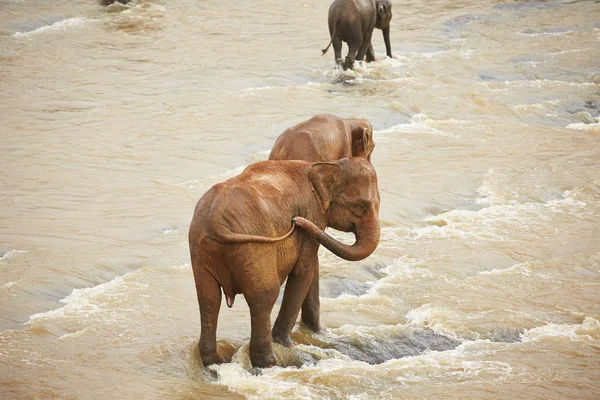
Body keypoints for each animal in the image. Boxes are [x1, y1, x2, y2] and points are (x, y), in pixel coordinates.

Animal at [190, 157, 382, 368]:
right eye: (361, 207)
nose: (295, 220)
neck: (326, 165)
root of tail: (215, 219)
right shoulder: (313, 214)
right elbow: (303, 271)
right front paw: (286, 344)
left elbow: (311, 268)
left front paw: (316, 333)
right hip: (251, 248)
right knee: (265, 294)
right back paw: (270, 362)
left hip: (202, 250)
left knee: (208, 297)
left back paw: (216, 362)